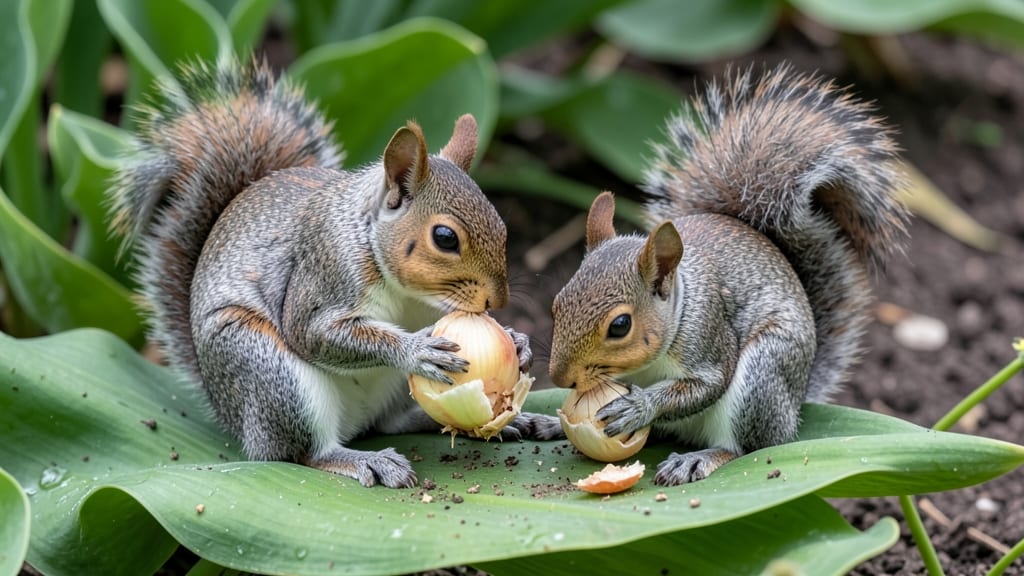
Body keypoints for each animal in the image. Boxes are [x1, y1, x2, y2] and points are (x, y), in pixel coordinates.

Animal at [109, 58, 561, 488]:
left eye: (501, 225)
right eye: (445, 237)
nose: (498, 300)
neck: (408, 294)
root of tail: (236, 419)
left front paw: (519, 342)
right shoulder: (325, 274)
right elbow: (313, 333)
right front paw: (415, 350)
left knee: (392, 422)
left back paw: (512, 422)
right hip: (270, 373)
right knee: (303, 453)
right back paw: (366, 460)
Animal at [548, 64, 908, 485]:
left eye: (620, 326)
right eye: (556, 304)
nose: (560, 379)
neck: (681, 304)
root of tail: (795, 406)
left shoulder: (707, 337)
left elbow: (706, 386)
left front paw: (639, 408)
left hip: (762, 377)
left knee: (746, 447)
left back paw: (698, 459)